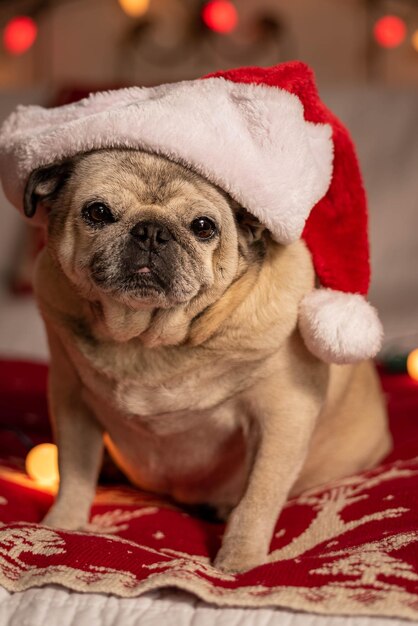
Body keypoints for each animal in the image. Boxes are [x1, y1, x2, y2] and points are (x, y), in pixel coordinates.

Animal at [27, 147, 392, 572]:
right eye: (97, 212)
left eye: (203, 227)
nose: (151, 231)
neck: (145, 342)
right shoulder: (71, 397)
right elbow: (74, 470)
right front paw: (61, 525)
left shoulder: (284, 415)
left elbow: (258, 498)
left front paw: (240, 561)